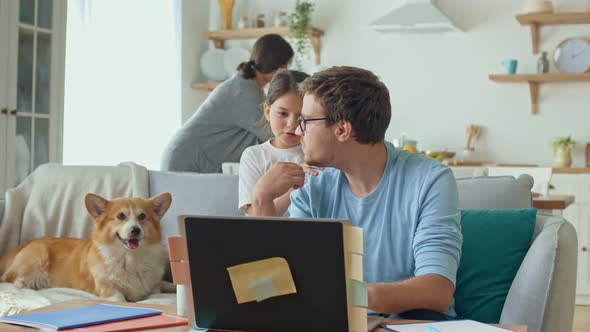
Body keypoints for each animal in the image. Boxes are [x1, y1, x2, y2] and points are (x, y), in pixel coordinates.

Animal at [0, 191, 173, 302]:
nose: (136, 230)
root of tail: (27, 243)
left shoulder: (153, 289)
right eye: (120, 216)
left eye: (142, 216)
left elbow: (160, 288)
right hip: (38, 255)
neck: (130, 257)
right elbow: (121, 298)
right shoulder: (107, 289)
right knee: (8, 278)